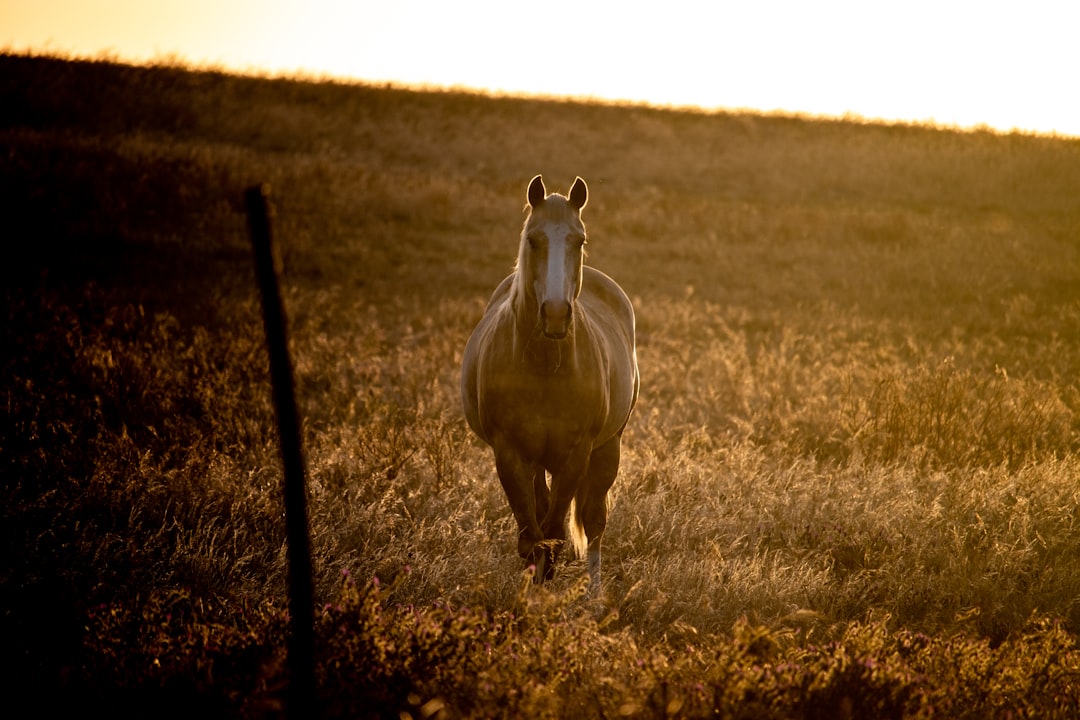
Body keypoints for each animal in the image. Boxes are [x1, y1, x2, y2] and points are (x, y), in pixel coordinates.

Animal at [457, 174, 639, 591]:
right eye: (532, 239)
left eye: (580, 240)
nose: (555, 314)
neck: (544, 367)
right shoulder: (510, 453)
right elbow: (532, 536)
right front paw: (531, 595)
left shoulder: (576, 453)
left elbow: (554, 534)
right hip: (538, 462)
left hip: (607, 449)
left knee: (594, 524)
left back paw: (595, 595)